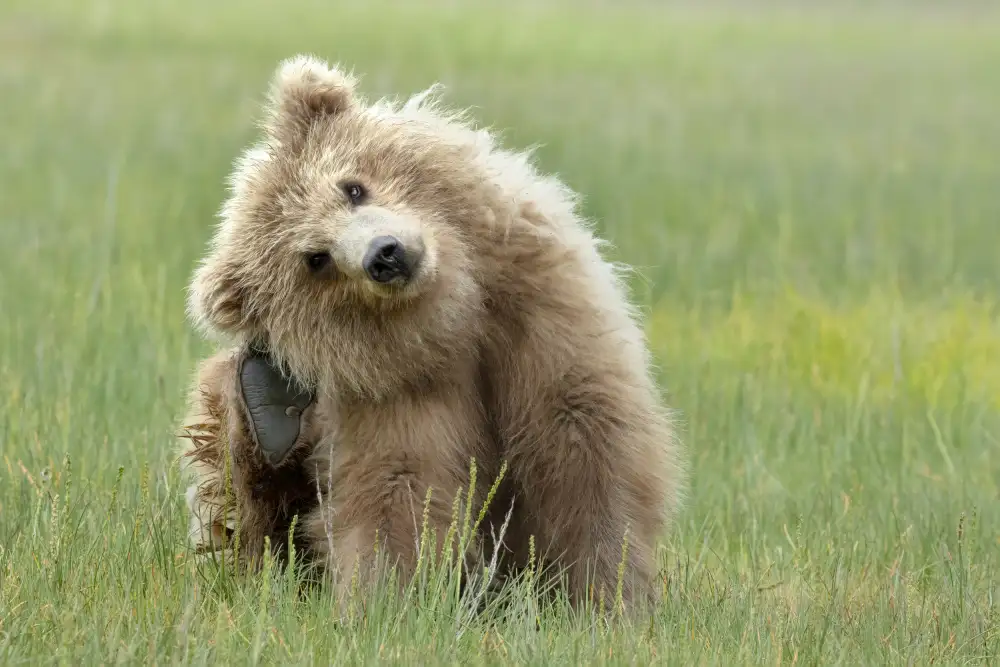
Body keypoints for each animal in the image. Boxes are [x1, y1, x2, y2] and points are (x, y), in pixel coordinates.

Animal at [177, 54, 685, 610]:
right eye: (316, 259)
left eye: (351, 187)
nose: (385, 254)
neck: (455, 310)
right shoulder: (395, 388)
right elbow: (398, 488)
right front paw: (382, 603)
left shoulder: (540, 314)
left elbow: (582, 437)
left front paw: (606, 596)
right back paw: (264, 402)